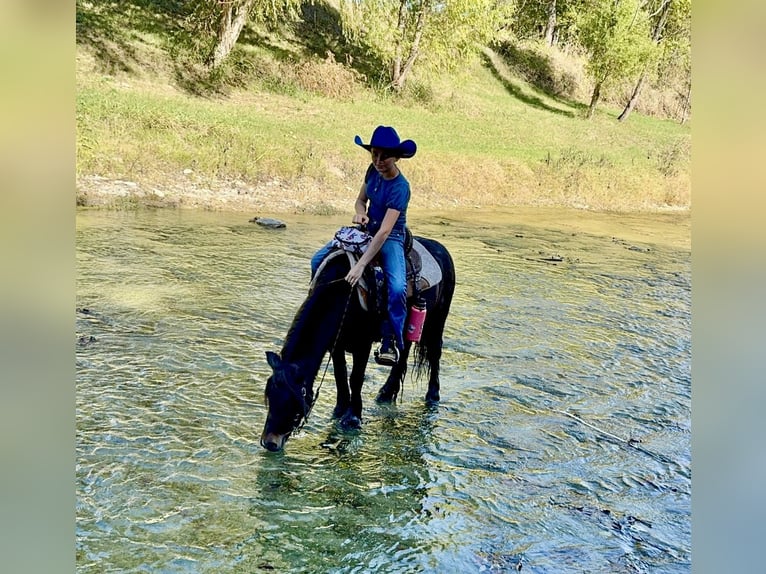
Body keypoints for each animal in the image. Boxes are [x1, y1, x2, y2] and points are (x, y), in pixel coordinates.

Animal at [260, 236, 455, 452]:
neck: (343, 295)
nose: (270, 443)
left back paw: (432, 395)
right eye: (269, 397)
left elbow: (355, 377)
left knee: (435, 353)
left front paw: (353, 417)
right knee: (402, 355)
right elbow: (340, 374)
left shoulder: (363, 344)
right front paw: (340, 408)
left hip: (437, 319)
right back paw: (386, 393)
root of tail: (441, 249)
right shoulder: (336, 344)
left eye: (292, 402)